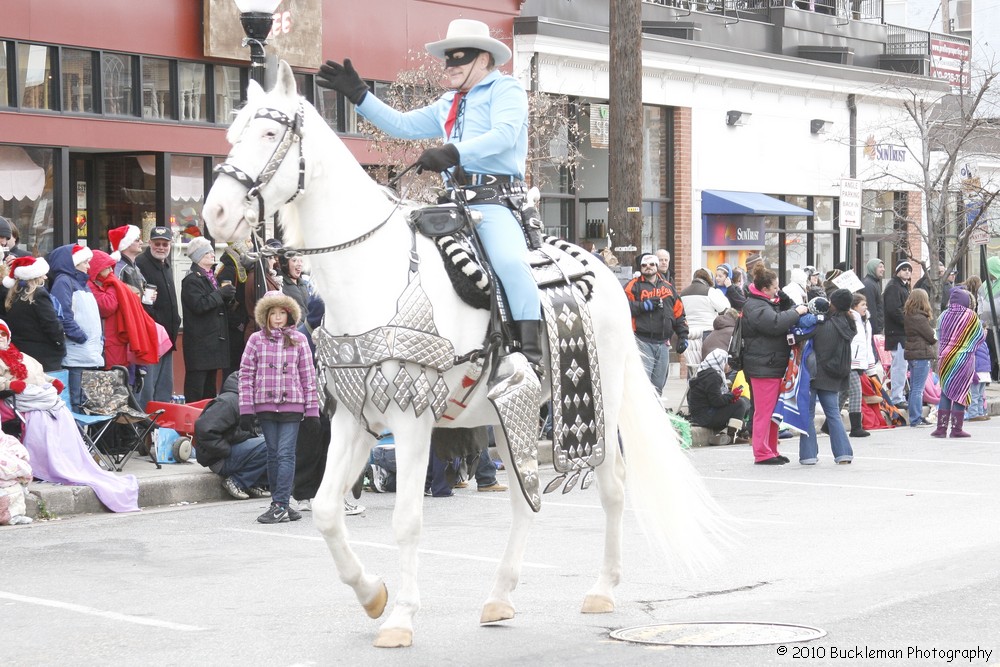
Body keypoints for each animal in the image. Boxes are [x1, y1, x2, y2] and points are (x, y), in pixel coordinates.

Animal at [201, 62, 728, 648]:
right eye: (232, 134)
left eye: (270, 133)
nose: (214, 214)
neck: (370, 273)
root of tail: (606, 272)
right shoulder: (355, 417)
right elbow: (324, 510)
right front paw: (372, 594)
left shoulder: (410, 419)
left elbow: (406, 519)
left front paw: (401, 617)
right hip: (509, 412)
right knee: (523, 499)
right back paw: (499, 597)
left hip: (602, 404)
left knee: (612, 486)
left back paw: (602, 589)